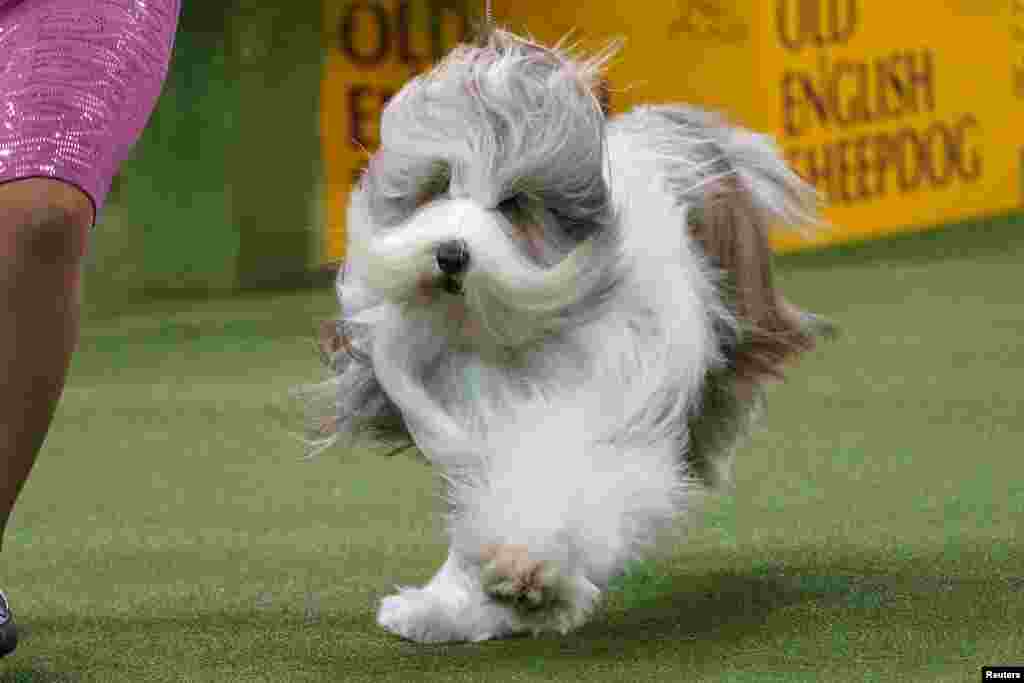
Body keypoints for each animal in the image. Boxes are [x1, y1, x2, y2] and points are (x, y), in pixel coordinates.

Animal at [301, 28, 831, 647]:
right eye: (437, 185)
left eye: (512, 203)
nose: (450, 254)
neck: (511, 331)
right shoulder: (460, 415)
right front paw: (451, 606)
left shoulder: (609, 400)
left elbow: (566, 481)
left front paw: (530, 572)